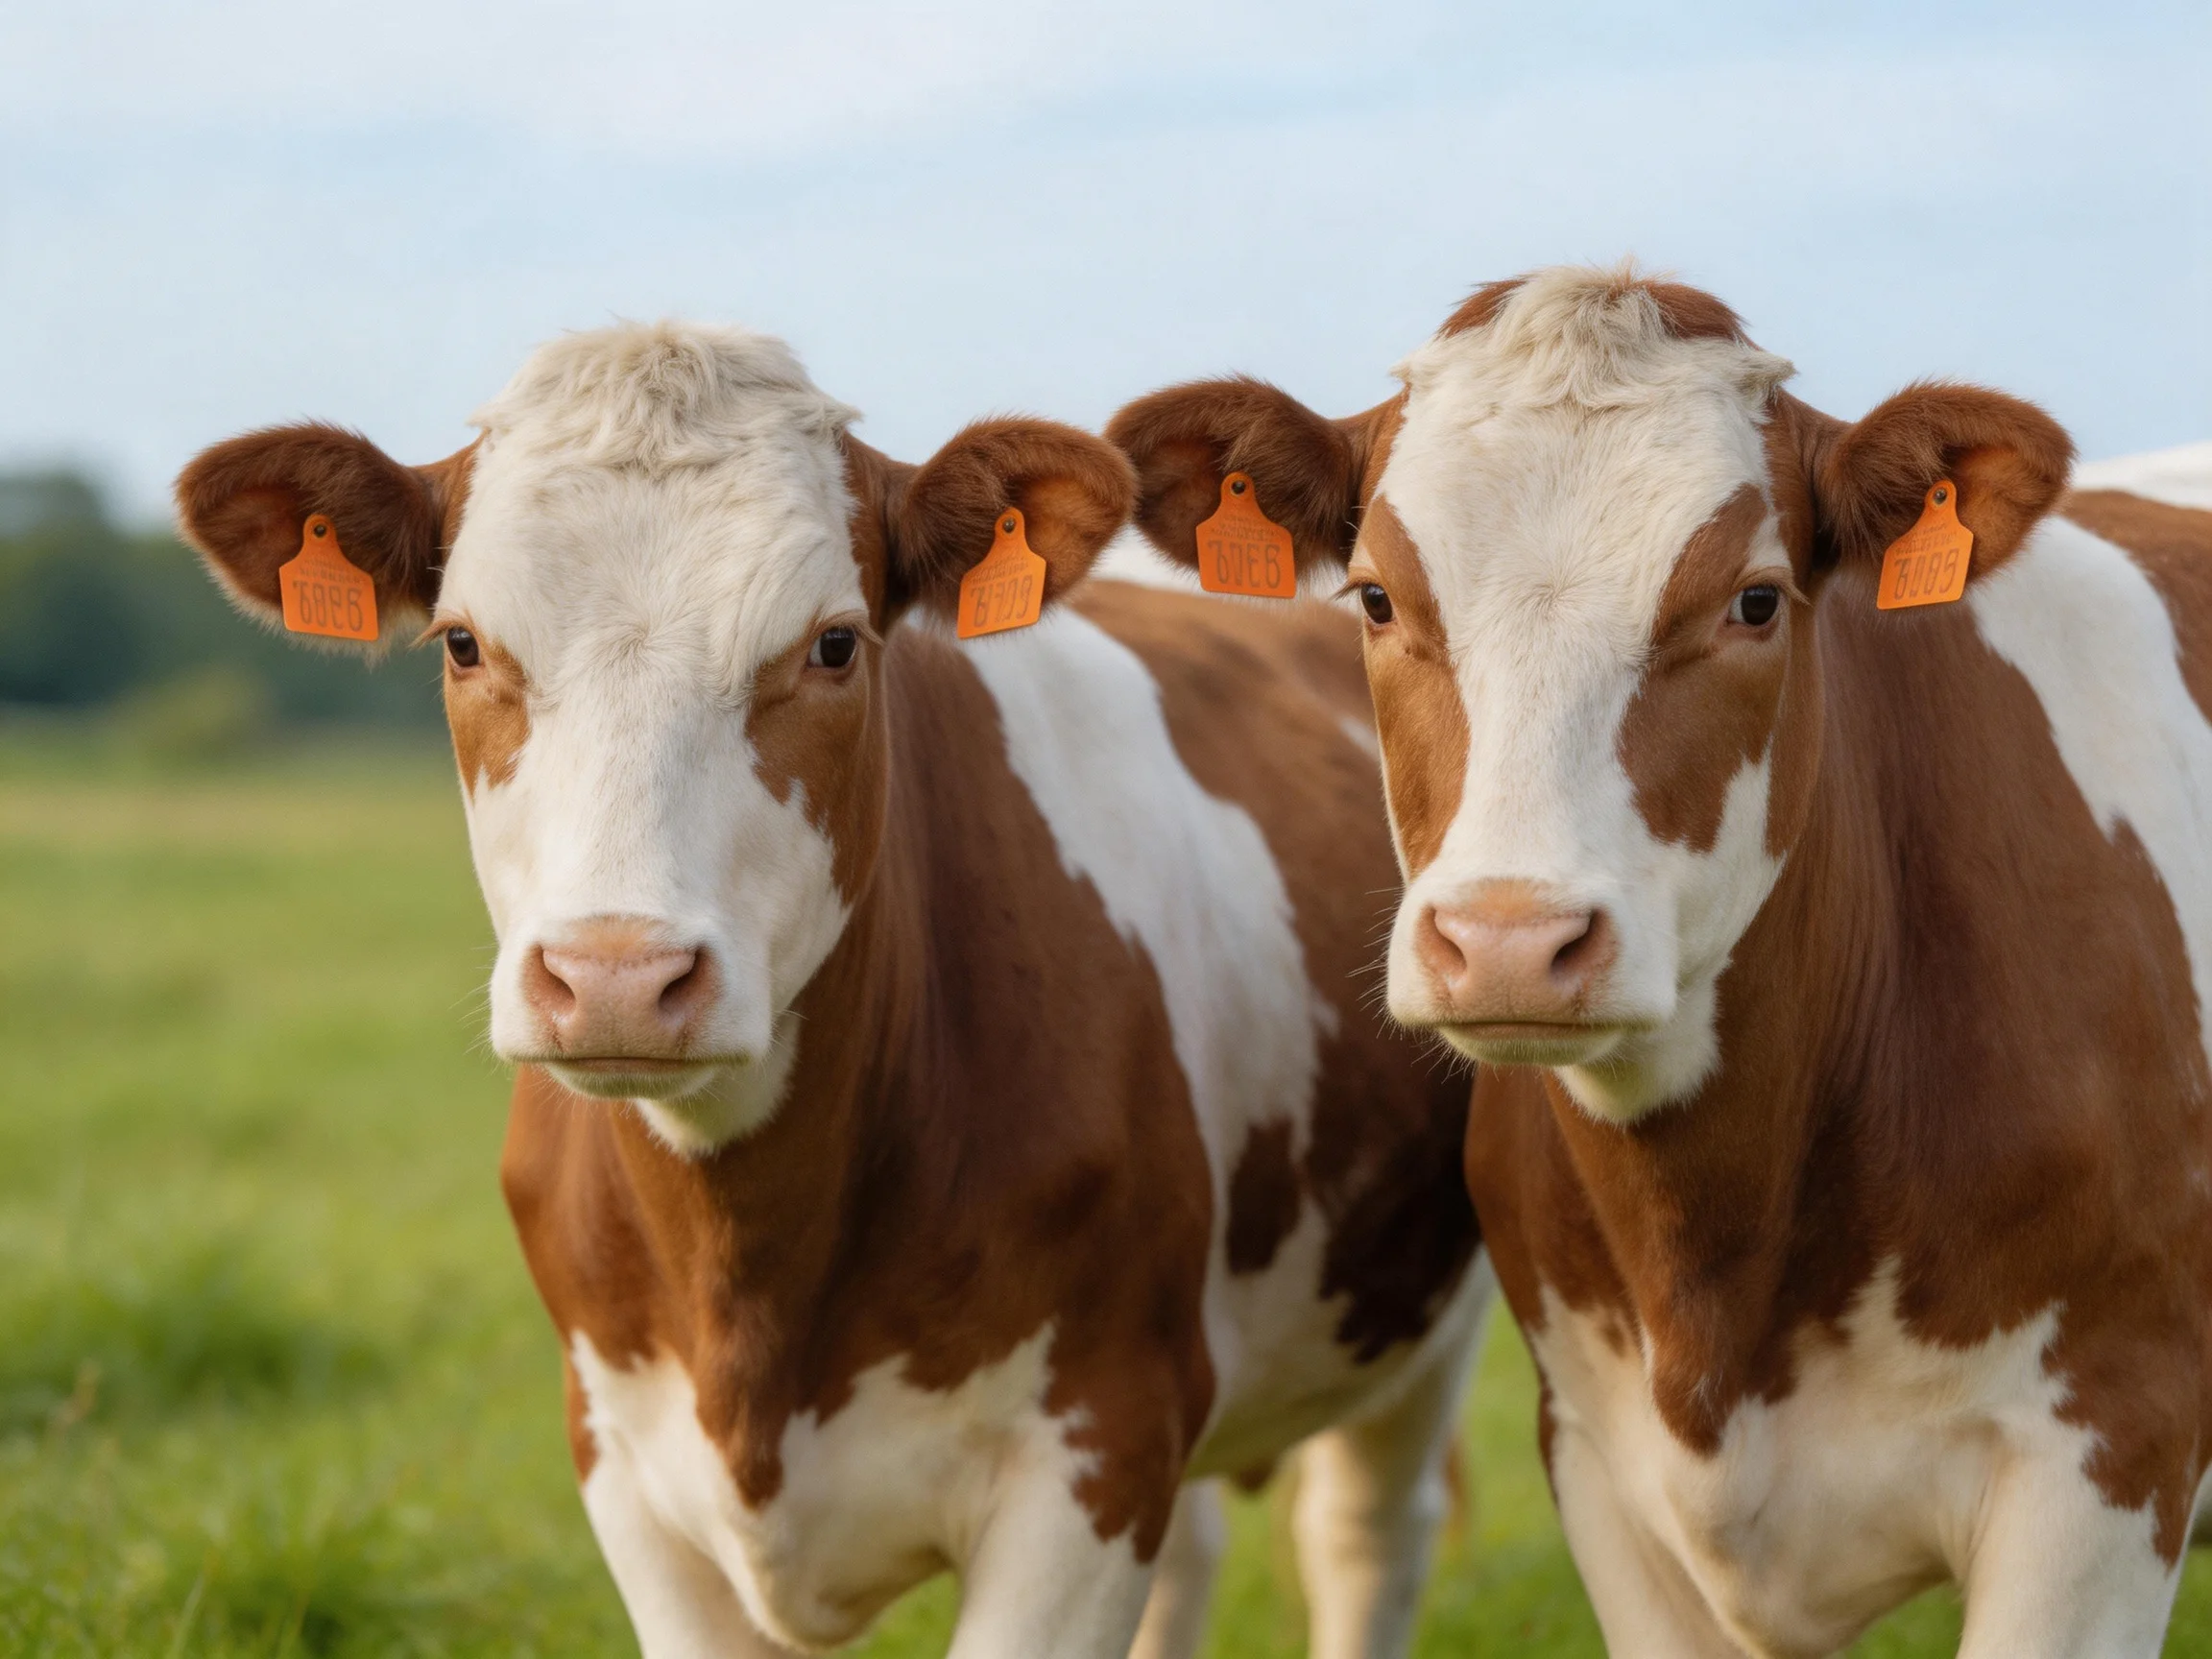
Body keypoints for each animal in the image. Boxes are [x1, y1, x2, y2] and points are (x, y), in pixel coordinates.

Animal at [172, 321, 1493, 1659]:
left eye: (834, 643)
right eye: (461, 643)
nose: (615, 977)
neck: (748, 1289)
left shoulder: (1095, 1451)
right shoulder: (624, 1465)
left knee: (1366, 1537)